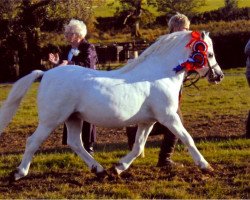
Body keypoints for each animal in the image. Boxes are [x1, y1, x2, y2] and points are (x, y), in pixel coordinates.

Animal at [0, 30, 223, 181]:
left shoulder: (148, 122)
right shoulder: (169, 117)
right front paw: (205, 166)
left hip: (73, 118)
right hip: (51, 119)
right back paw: (18, 173)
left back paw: (100, 170)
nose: (219, 76)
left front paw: (118, 168)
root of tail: (45, 74)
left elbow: (138, 146)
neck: (159, 74)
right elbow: (187, 138)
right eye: (210, 53)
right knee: (32, 141)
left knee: (75, 143)